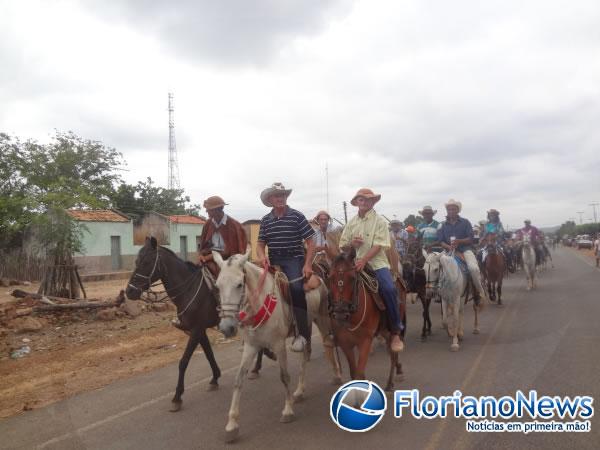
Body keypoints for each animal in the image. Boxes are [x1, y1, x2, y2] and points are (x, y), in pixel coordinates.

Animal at [125, 237, 221, 414]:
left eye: (147, 262)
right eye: (136, 261)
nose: (130, 291)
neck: (188, 289)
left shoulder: (196, 330)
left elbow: (183, 362)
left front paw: (177, 397)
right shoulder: (199, 330)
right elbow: (208, 353)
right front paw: (215, 378)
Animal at [213, 251, 340, 444]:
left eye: (239, 284)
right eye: (217, 286)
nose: (227, 327)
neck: (260, 301)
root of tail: (317, 273)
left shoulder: (279, 345)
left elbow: (284, 376)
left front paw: (287, 410)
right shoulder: (251, 346)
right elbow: (238, 380)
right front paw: (232, 425)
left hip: (322, 318)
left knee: (328, 344)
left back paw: (337, 375)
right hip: (306, 325)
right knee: (305, 354)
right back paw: (299, 391)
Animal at [326, 248, 406, 392]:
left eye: (352, 278)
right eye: (330, 277)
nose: (340, 312)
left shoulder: (365, 341)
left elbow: (359, 374)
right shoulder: (345, 344)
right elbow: (354, 374)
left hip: (393, 325)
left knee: (393, 350)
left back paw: (392, 380)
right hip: (383, 330)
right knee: (391, 352)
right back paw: (390, 382)